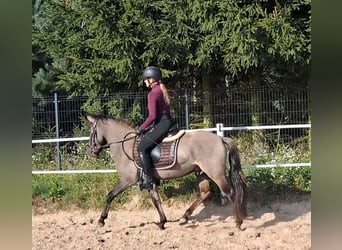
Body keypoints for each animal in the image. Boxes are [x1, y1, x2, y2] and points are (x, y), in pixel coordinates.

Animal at [85, 114, 246, 229]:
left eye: (92, 131)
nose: (90, 151)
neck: (126, 145)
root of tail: (220, 138)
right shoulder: (149, 181)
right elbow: (156, 200)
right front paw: (162, 221)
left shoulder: (127, 180)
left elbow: (110, 196)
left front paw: (101, 220)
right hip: (201, 172)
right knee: (205, 193)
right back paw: (184, 216)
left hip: (216, 174)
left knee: (231, 193)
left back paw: (238, 222)